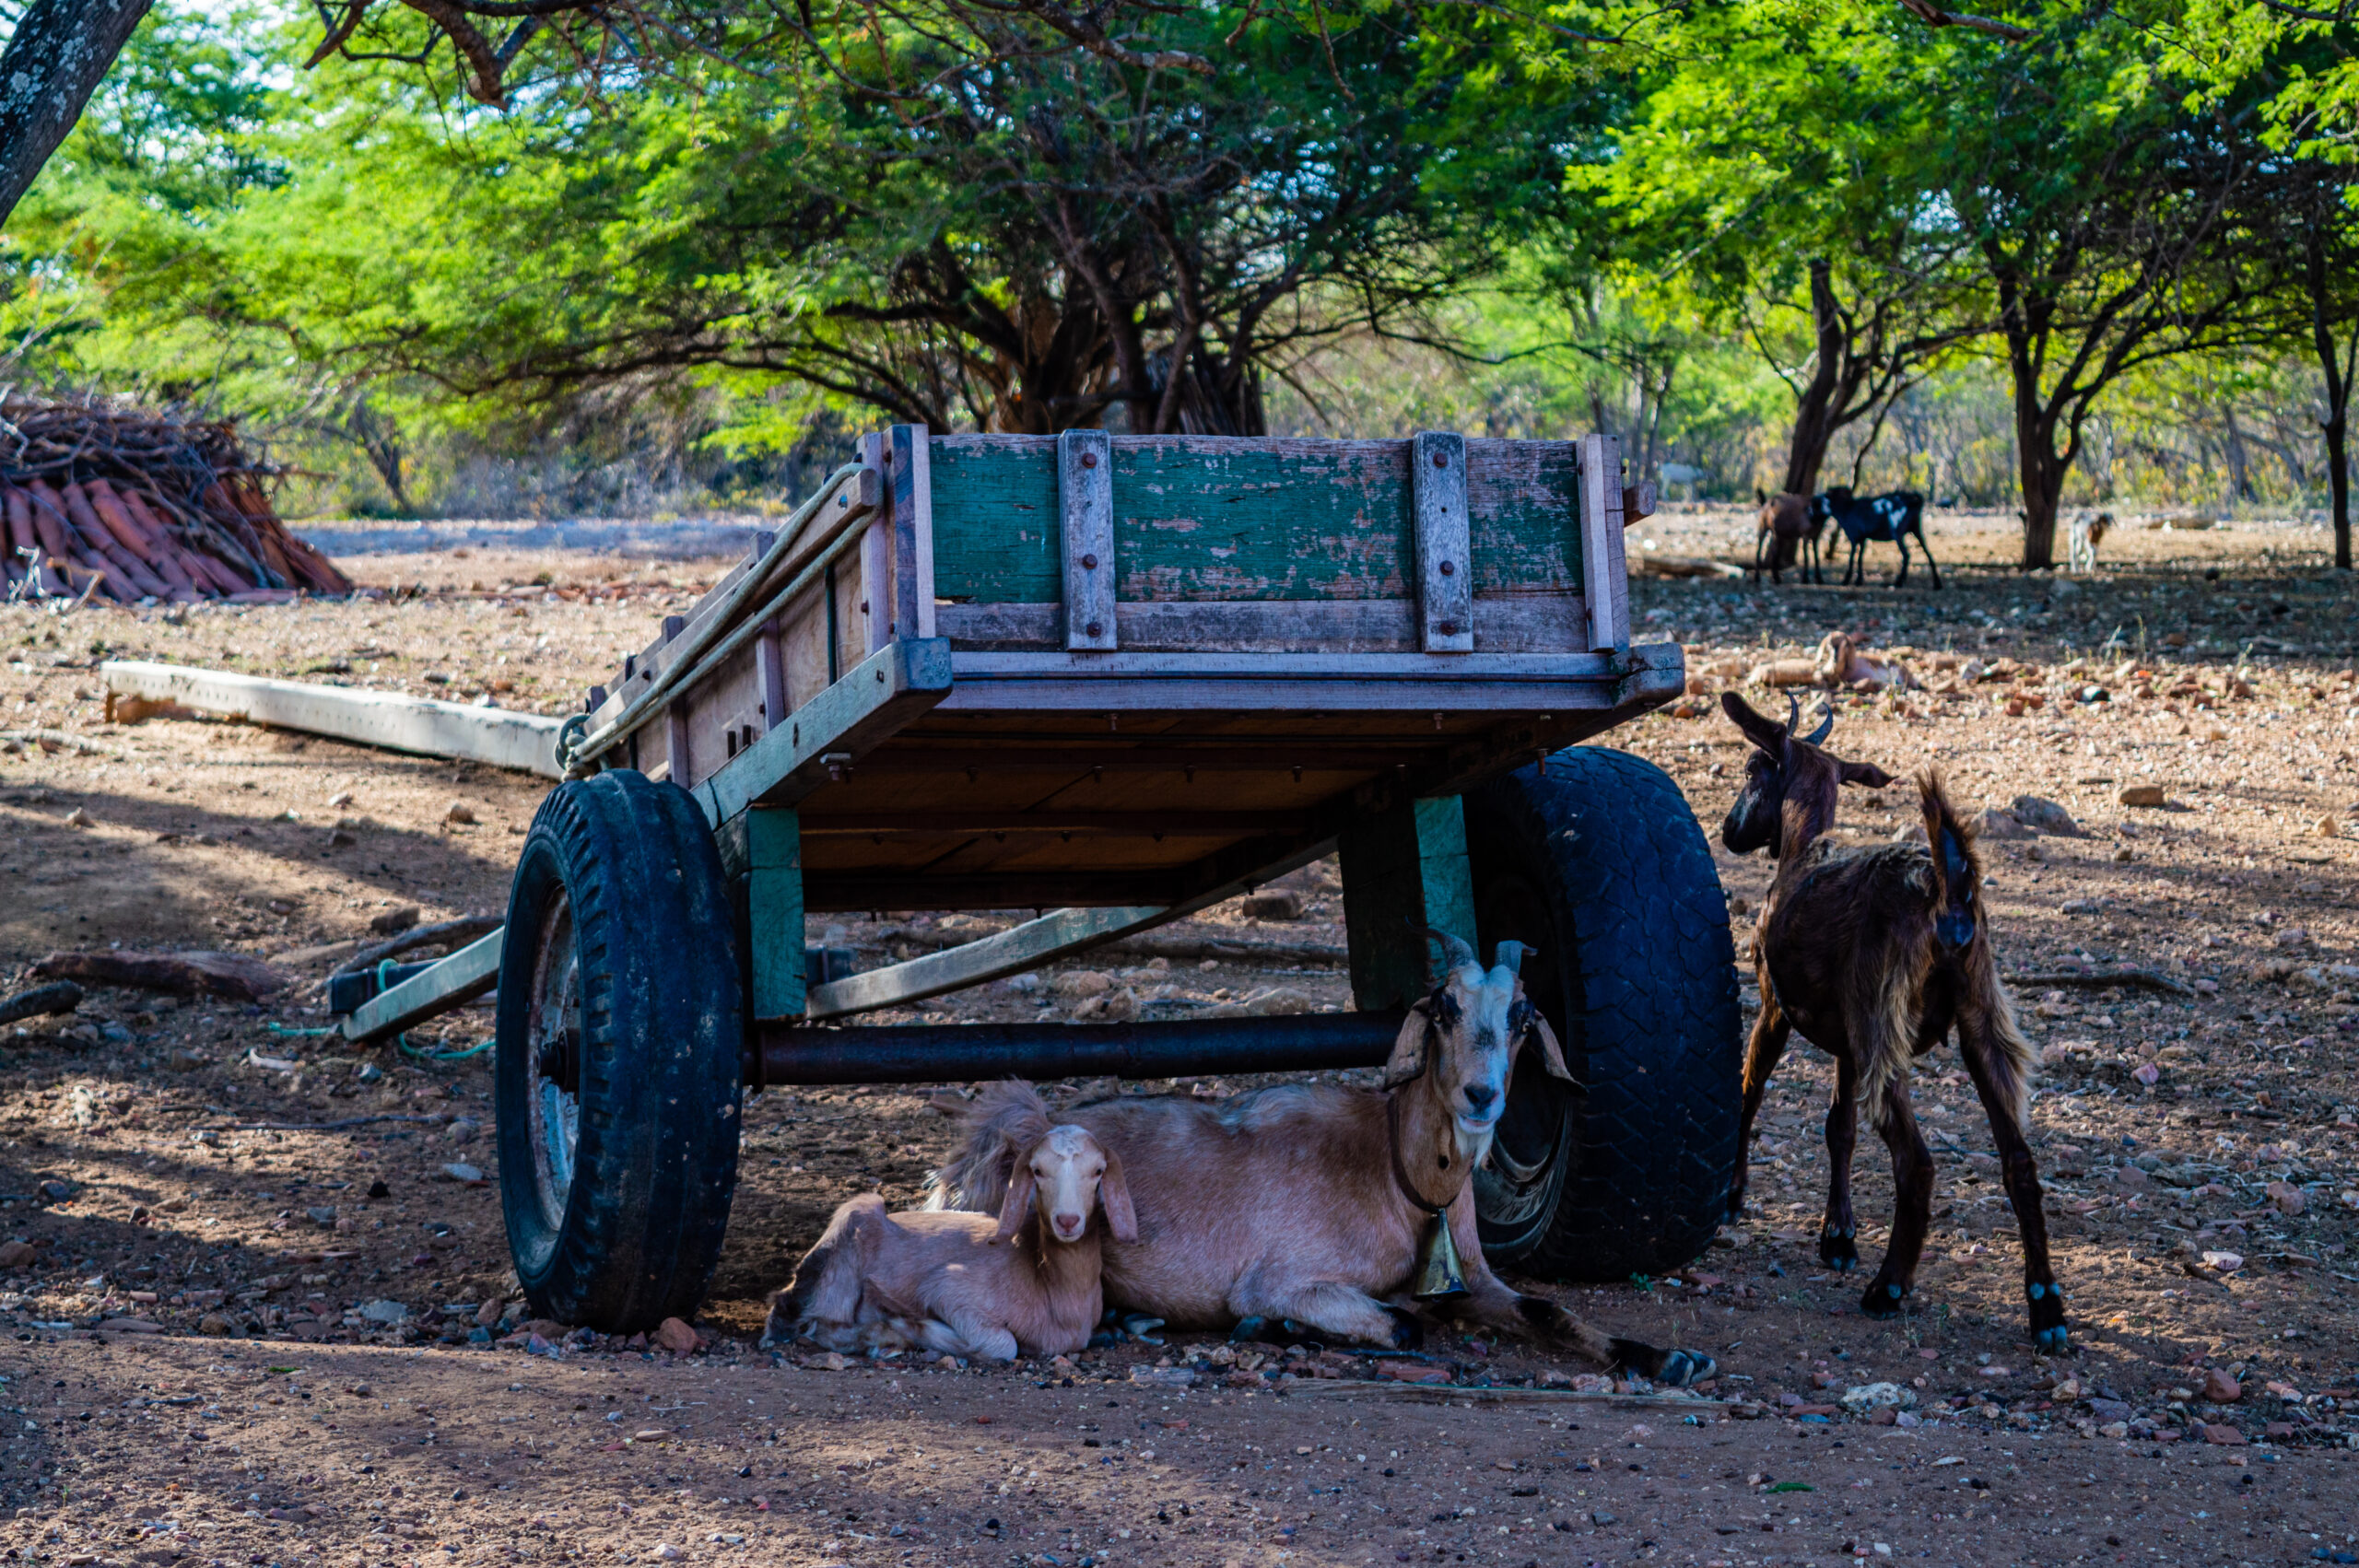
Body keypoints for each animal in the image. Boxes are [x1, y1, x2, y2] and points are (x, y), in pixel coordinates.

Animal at [764, 1113, 1132, 1358]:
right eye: (1038, 1171)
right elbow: (1003, 1345)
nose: (1068, 1221)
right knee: (821, 1325)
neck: (1052, 1286)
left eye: (1098, 1171)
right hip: (851, 1233)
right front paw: (911, 1325)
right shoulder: (948, 1289)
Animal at [920, 933, 1717, 1376]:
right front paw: (1275, 1328)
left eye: (1522, 1016)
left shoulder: (1477, 1280)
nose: (1482, 1095)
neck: (1399, 1175)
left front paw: (1670, 1358)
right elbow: (1402, 1323)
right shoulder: (1277, 1277)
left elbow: (1547, 1309)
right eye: (1443, 1007)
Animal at [1717, 693, 2066, 1348]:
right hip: (1976, 1020)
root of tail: (1946, 894)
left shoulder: (1778, 1005)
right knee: (2020, 1165)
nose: (1729, 831)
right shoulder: (1846, 1038)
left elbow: (1750, 1091)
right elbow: (1839, 1128)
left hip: (1886, 1021)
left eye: (1754, 769)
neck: (1802, 850)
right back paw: (2047, 1309)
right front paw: (1837, 1235)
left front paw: (1731, 1195)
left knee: (1918, 1162)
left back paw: (1890, 1288)